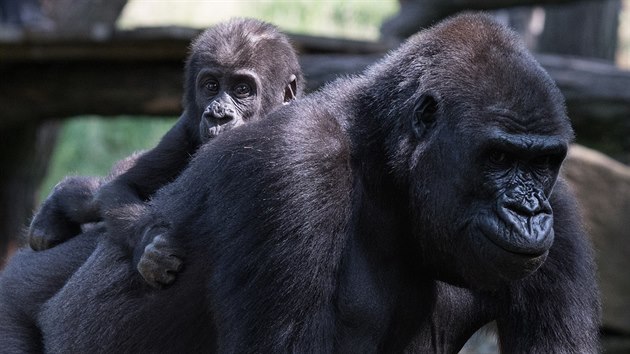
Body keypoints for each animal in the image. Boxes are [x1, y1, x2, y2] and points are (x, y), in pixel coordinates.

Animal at [28, 17, 304, 288]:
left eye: (242, 90)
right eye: (211, 86)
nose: (218, 115)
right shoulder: (183, 129)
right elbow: (122, 186)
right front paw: (148, 246)